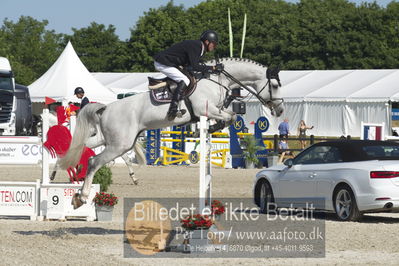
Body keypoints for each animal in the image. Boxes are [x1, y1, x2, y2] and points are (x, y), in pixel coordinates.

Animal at [59, 57, 284, 208]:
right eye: (274, 85)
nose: (280, 110)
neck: (217, 80)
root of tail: (105, 109)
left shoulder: (214, 110)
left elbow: (230, 117)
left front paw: (212, 128)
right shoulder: (206, 109)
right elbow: (231, 117)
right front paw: (212, 128)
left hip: (115, 141)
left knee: (84, 148)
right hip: (119, 144)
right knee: (94, 162)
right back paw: (81, 196)